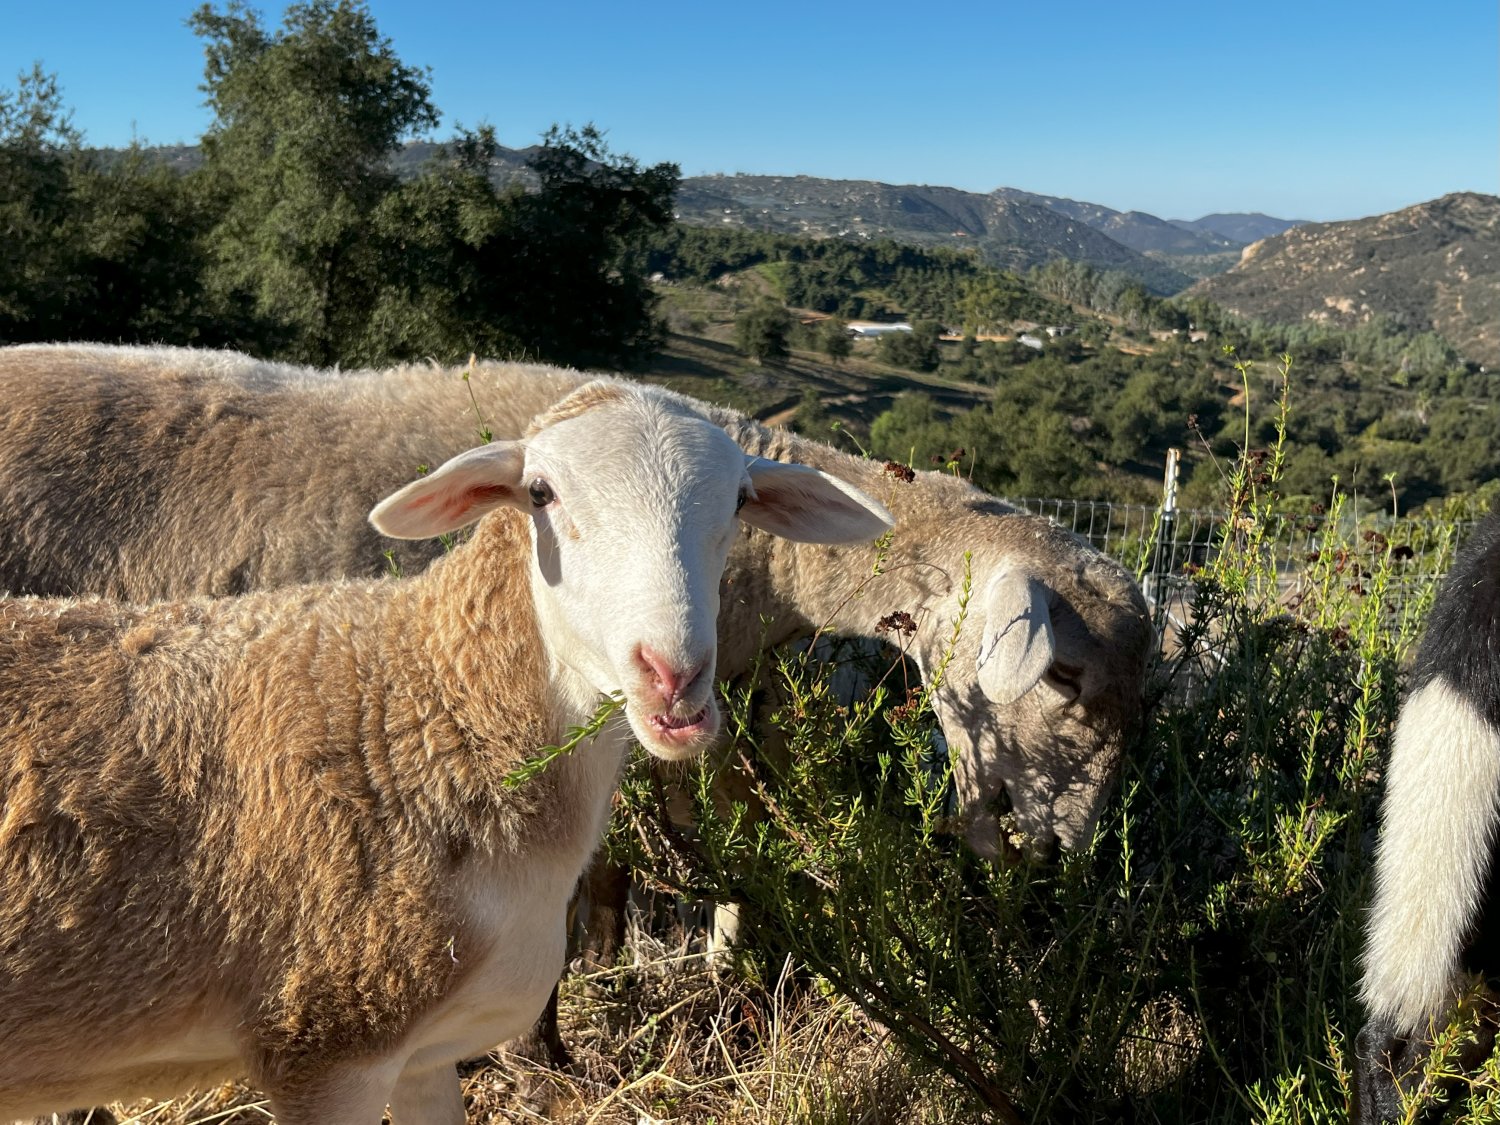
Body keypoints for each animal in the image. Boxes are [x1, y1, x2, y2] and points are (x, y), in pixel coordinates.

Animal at [0, 381, 888, 1125]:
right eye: (541, 492)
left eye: (738, 501)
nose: (673, 677)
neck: (433, 702)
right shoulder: (330, 1041)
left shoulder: (426, 1054)